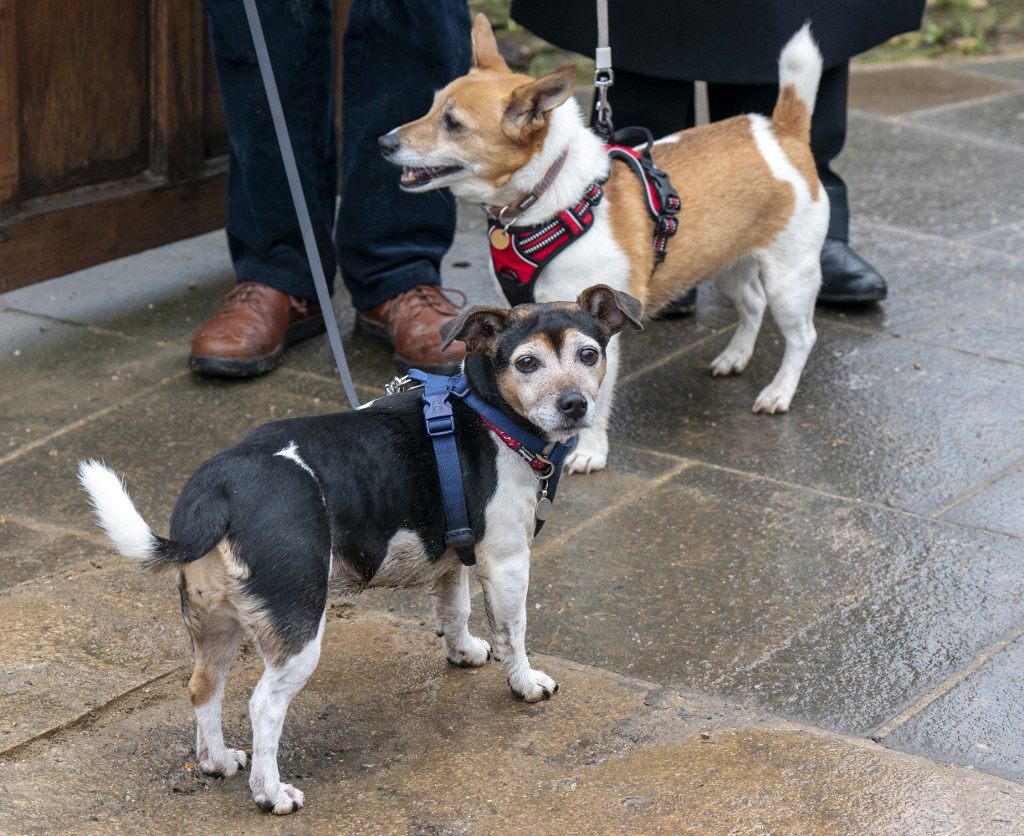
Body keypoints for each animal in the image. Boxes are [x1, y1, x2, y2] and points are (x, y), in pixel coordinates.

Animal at [77, 284, 638, 811]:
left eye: (589, 354)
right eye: (526, 363)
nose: (575, 405)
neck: (487, 411)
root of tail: (220, 491)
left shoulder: (452, 556)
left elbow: (454, 610)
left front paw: (462, 652)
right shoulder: (505, 562)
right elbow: (513, 630)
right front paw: (525, 682)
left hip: (214, 622)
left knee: (203, 687)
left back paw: (216, 761)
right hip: (298, 625)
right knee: (263, 705)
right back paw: (271, 793)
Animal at [380, 13, 827, 473]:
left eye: (453, 123)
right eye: (433, 107)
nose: (384, 142)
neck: (549, 196)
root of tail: (782, 131)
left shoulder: (597, 333)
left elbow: (594, 394)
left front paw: (590, 451)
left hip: (789, 279)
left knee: (802, 337)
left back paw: (779, 391)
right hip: (726, 263)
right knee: (753, 304)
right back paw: (735, 356)